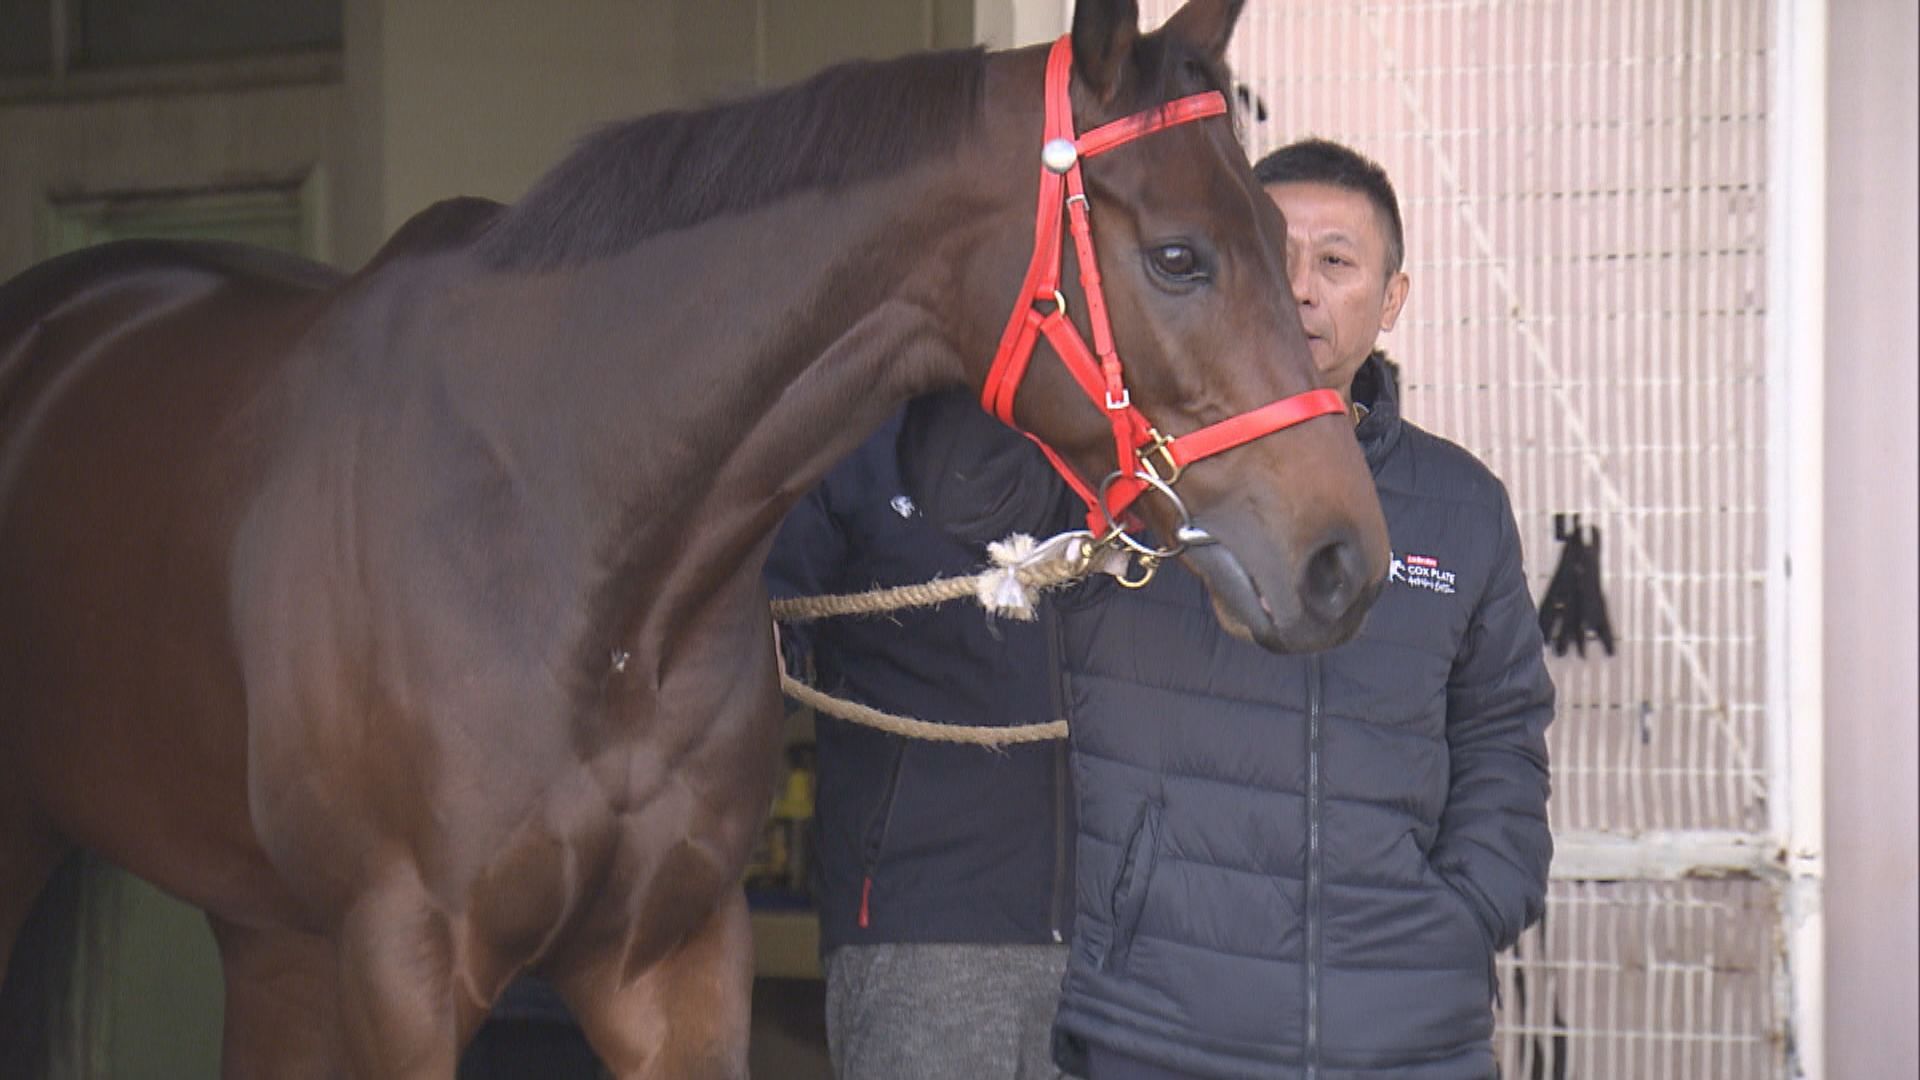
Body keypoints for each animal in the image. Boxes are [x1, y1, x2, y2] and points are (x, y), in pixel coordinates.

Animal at [0, 0, 1382, 1068]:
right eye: (1179, 257)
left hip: (272, 935)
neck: (575, 540)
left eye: (1291, 245)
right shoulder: (402, 966)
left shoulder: (673, 961)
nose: (1343, 565)